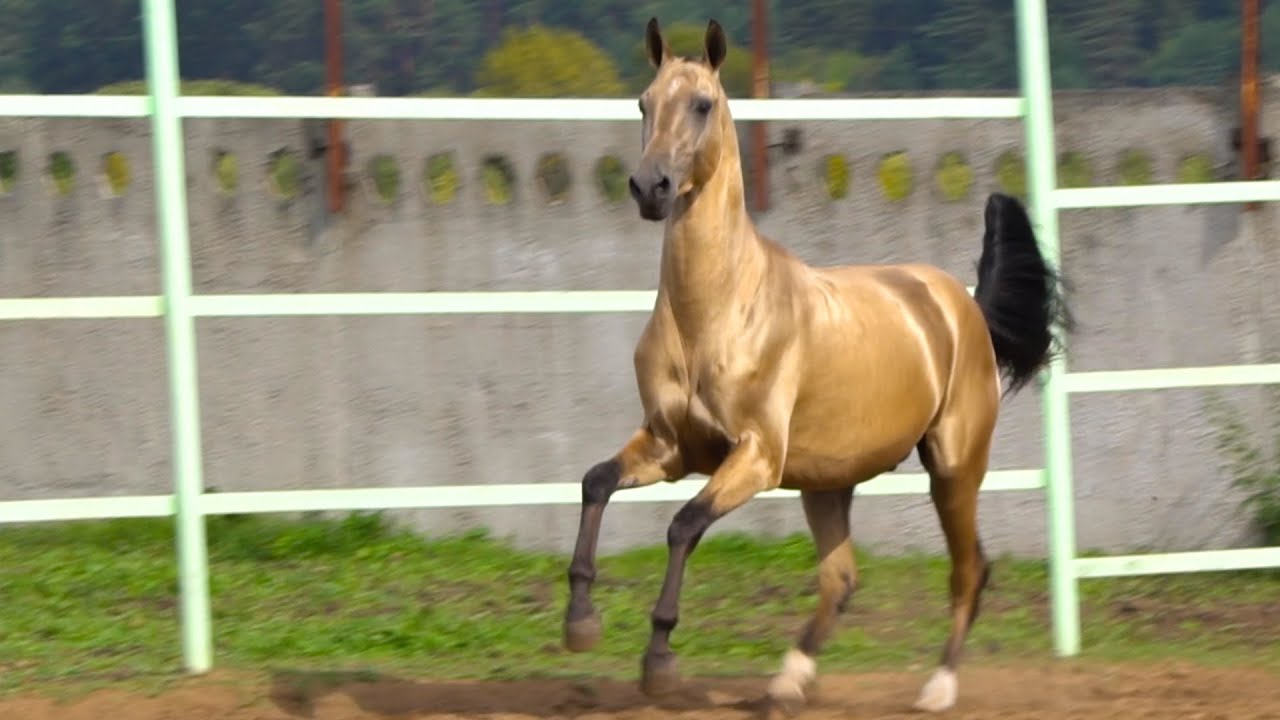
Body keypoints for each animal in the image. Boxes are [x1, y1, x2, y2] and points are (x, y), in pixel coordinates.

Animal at [561, 17, 1071, 714]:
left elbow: (683, 525)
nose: (649, 187)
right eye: (643, 103)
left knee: (970, 569)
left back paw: (936, 687)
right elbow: (595, 483)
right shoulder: (670, 446)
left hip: (953, 467)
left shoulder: (754, 456)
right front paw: (580, 624)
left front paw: (658, 660)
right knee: (842, 579)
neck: (714, 313)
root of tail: (960, 304)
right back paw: (788, 682)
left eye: (703, 104)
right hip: (828, 484)